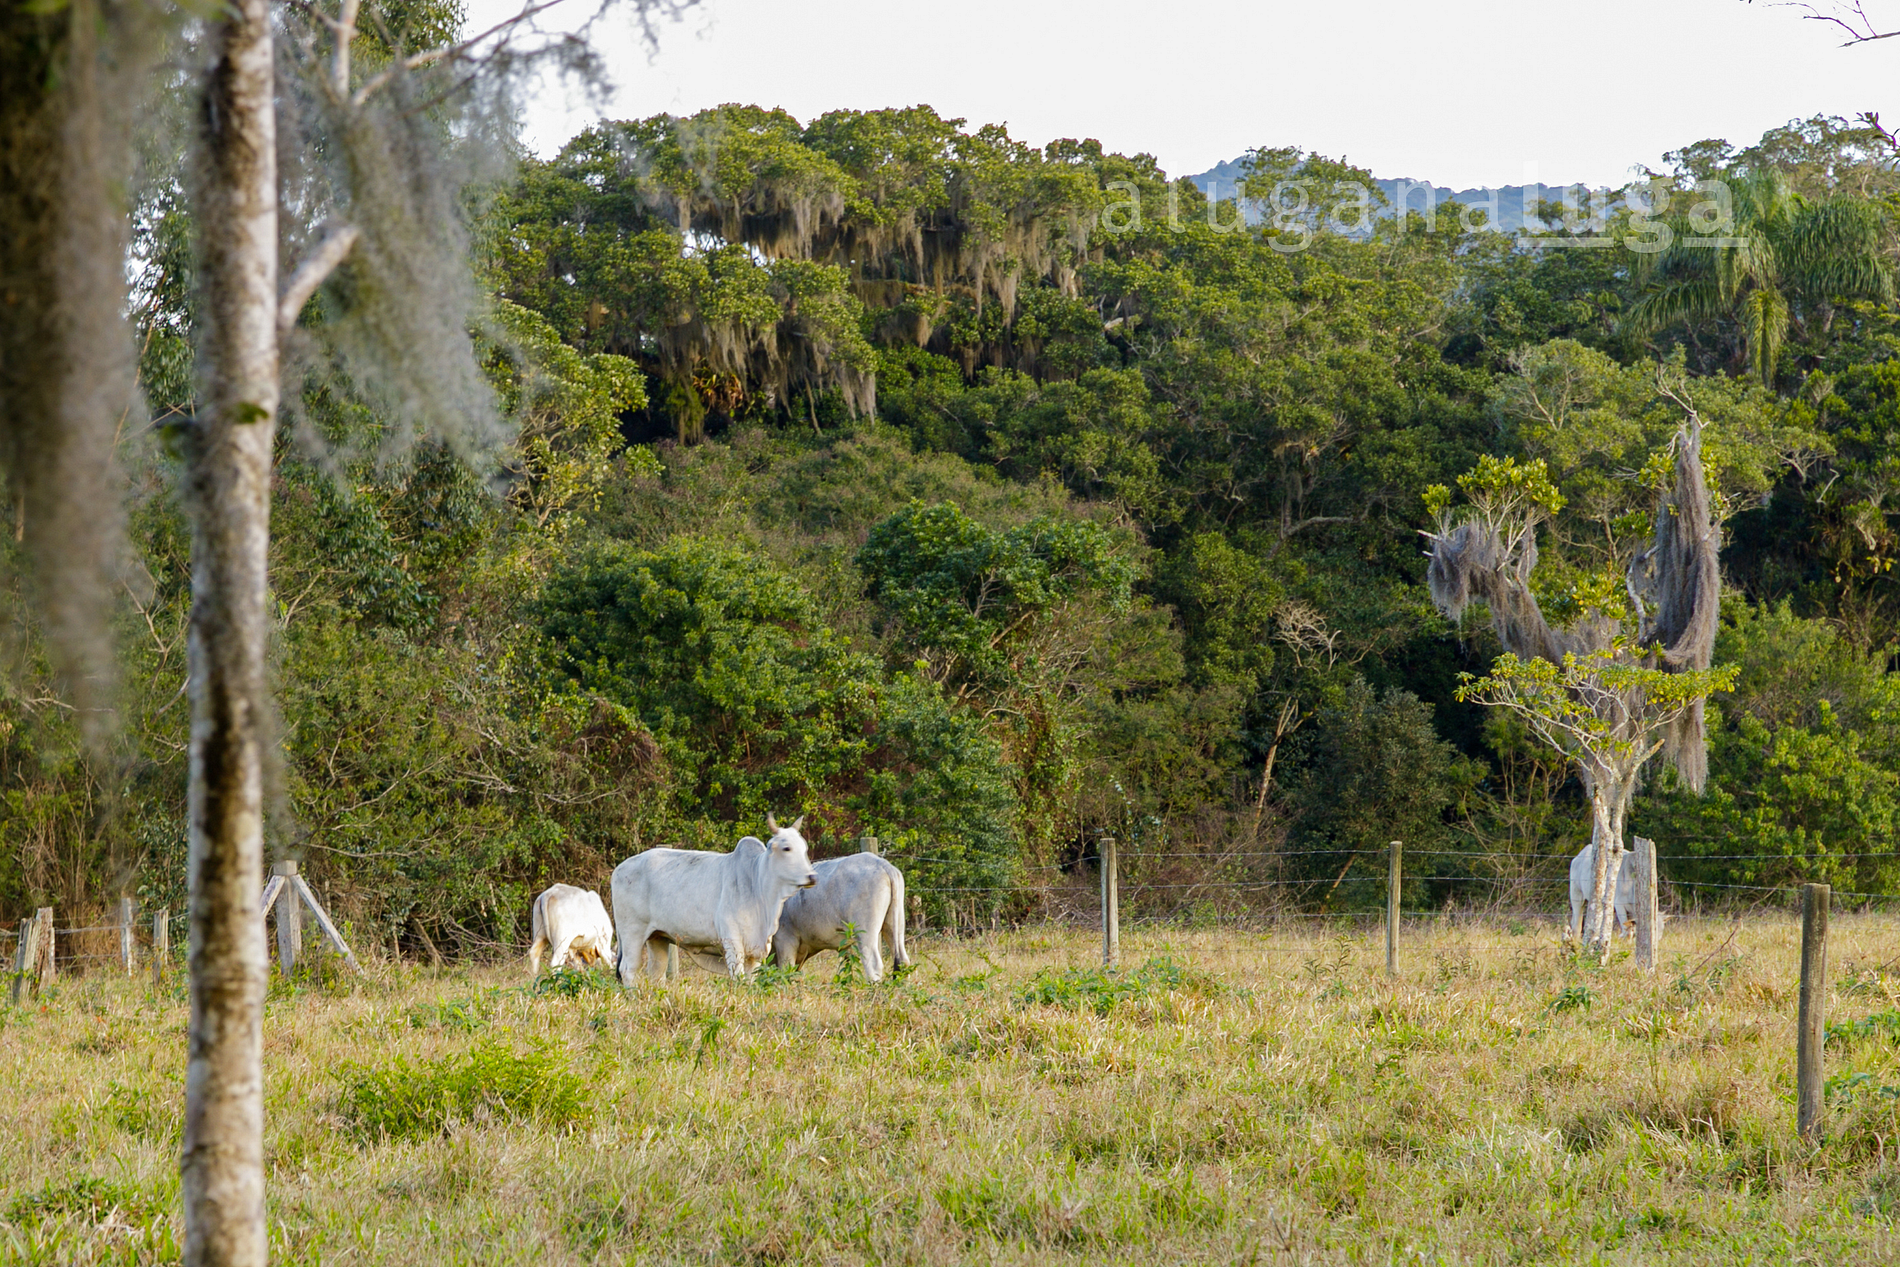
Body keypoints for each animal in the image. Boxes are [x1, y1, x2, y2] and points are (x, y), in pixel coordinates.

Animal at [611, 814, 817, 984]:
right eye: (786, 848)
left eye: (804, 848)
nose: (812, 877)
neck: (757, 885)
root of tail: (619, 869)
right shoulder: (732, 942)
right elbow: (738, 978)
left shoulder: (755, 952)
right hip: (632, 932)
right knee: (628, 970)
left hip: (657, 937)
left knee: (656, 972)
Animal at [771, 852, 911, 983]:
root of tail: (883, 864)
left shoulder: (785, 938)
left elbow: (785, 971)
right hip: (894, 925)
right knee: (903, 961)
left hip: (866, 932)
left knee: (873, 965)